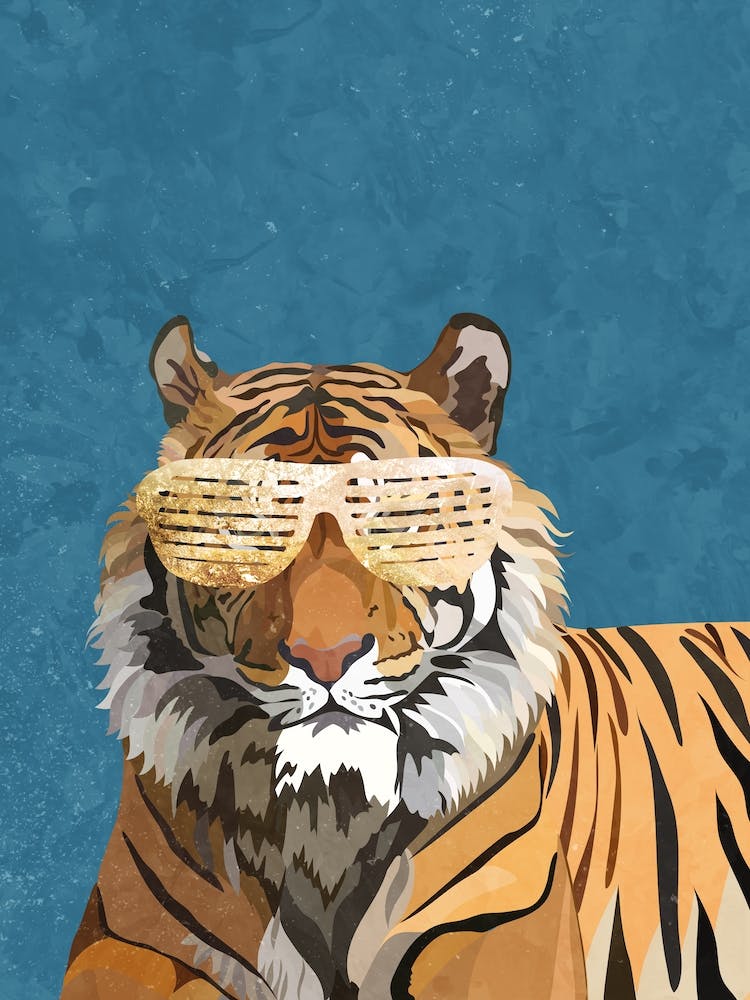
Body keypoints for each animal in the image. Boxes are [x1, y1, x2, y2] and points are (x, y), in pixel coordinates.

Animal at [61, 312, 750, 1000]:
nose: (325, 658)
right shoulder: (127, 937)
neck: (328, 814)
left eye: (392, 517)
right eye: (256, 523)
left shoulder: (495, 924)